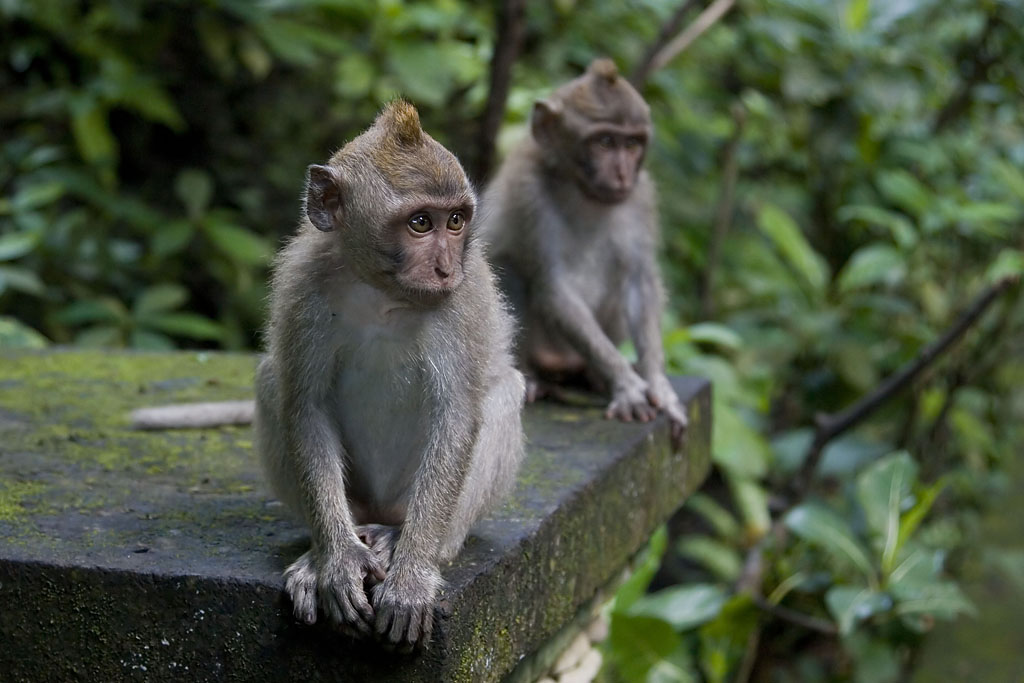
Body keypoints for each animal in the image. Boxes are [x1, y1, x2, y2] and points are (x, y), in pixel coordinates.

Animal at [139, 102, 524, 651]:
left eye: (455, 221)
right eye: (420, 222)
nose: (446, 268)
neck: (381, 291)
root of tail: (378, 510)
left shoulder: (463, 301)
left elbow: (457, 417)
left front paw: (412, 578)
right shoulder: (303, 286)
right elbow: (305, 405)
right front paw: (338, 564)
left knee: (501, 395)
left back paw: (403, 540)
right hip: (355, 500)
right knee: (272, 382)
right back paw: (320, 554)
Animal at [479, 58, 688, 444]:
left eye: (632, 144)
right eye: (604, 142)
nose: (621, 174)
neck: (582, 190)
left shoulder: (640, 196)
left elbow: (640, 284)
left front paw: (658, 385)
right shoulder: (529, 194)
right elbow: (553, 286)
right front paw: (627, 385)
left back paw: (592, 376)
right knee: (507, 269)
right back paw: (532, 377)